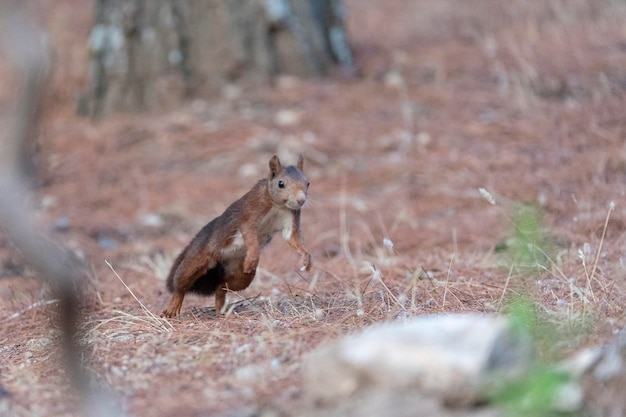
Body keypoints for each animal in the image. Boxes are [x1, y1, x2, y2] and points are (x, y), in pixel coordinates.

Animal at [160, 154, 308, 316]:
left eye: (307, 183)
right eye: (281, 184)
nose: (301, 200)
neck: (277, 205)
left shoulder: (291, 217)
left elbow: (293, 238)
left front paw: (306, 257)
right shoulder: (250, 212)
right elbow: (249, 234)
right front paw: (253, 256)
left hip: (241, 275)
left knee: (221, 287)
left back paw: (222, 310)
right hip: (196, 260)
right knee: (181, 285)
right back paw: (172, 308)